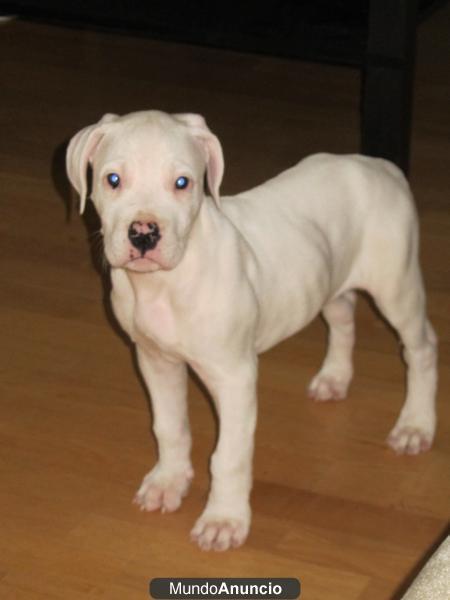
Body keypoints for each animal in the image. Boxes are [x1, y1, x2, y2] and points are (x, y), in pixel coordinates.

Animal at [65, 110, 438, 552]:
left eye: (182, 183)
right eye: (113, 179)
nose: (143, 233)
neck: (166, 283)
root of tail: (381, 166)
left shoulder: (235, 377)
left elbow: (229, 455)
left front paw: (223, 520)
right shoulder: (155, 360)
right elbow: (169, 427)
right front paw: (168, 482)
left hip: (396, 287)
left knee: (421, 348)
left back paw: (415, 425)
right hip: (328, 276)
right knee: (343, 317)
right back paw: (334, 378)